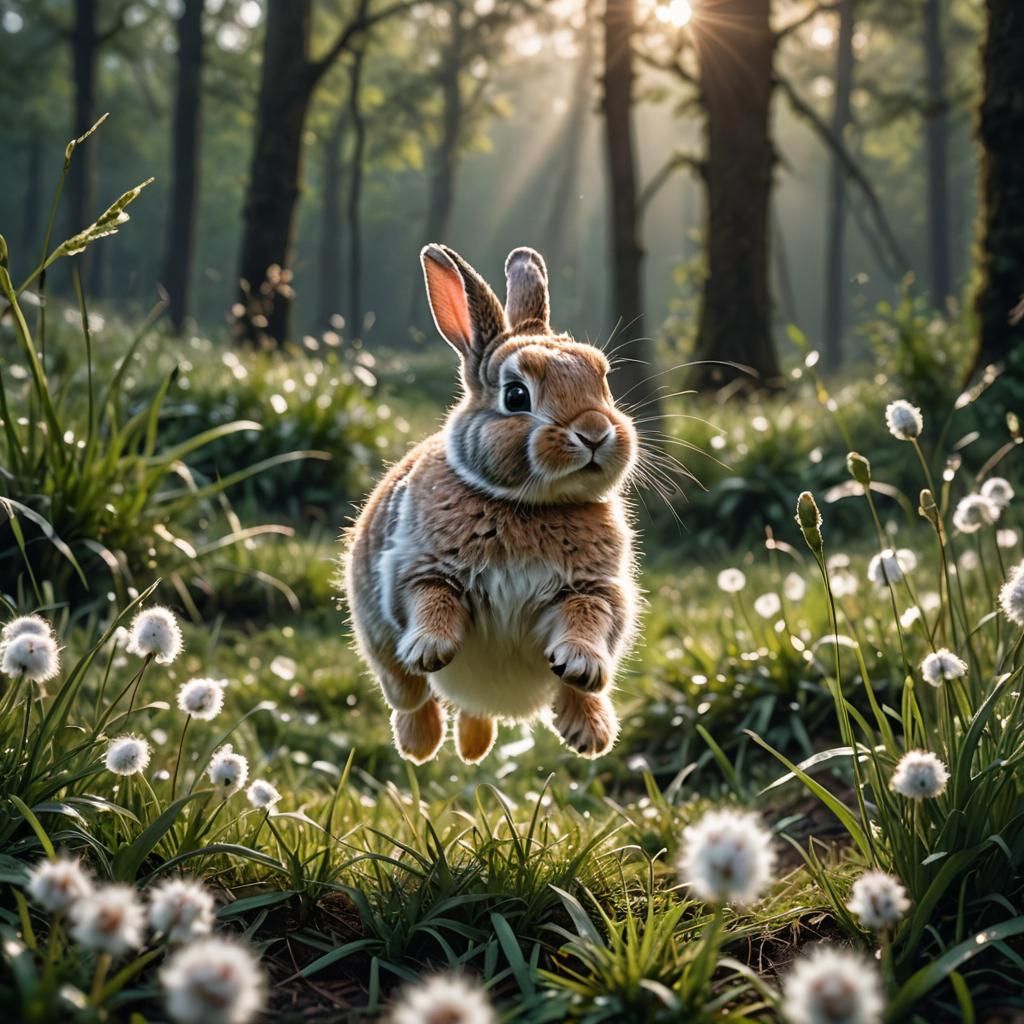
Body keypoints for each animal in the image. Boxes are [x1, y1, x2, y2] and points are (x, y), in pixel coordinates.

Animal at [343, 243, 640, 764]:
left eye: (603, 382)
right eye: (516, 395)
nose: (595, 433)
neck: (529, 504)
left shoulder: (596, 588)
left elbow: (589, 619)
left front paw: (580, 664)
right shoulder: (418, 571)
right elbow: (431, 601)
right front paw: (431, 649)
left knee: (555, 697)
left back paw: (583, 734)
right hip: (378, 644)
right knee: (410, 694)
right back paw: (422, 746)